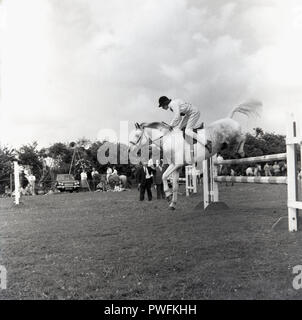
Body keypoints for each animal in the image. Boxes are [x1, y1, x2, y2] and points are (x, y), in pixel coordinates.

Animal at [129, 100, 262, 210]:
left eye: (137, 136)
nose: (131, 150)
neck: (168, 138)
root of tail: (228, 118)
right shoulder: (176, 167)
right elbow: (174, 184)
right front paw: (172, 203)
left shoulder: (176, 164)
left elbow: (164, 176)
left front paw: (167, 195)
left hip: (234, 135)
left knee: (243, 137)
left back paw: (240, 152)